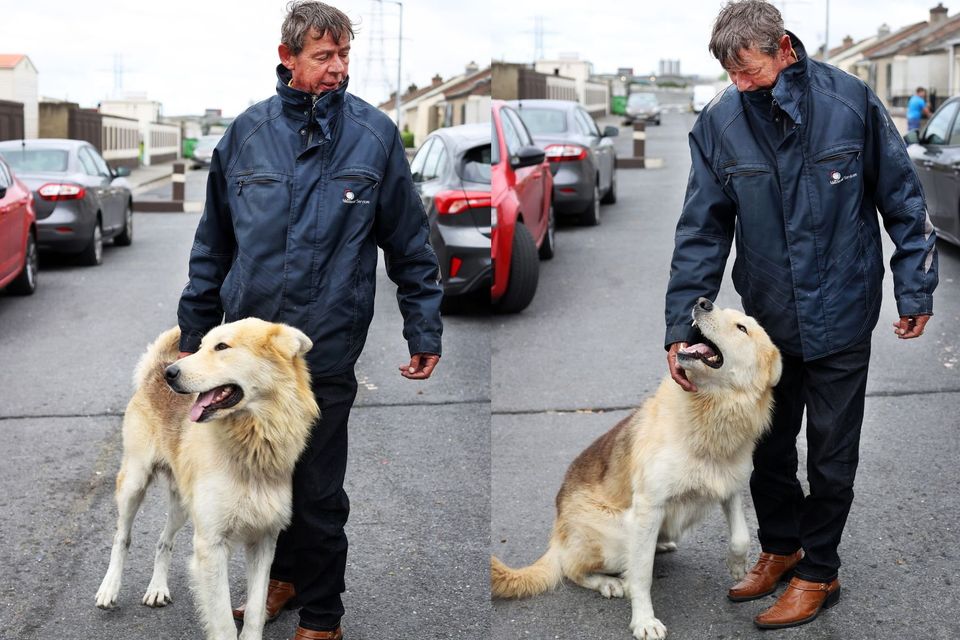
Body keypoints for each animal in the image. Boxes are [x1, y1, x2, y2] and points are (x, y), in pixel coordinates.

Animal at [94, 318, 318, 640]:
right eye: (200, 347)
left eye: (222, 347)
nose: (171, 374)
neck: (252, 443)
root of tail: (155, 369)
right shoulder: (211, 546)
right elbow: (223, 621)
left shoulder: (264, 541)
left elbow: (255, 610)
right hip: (134, 484)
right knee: (121, 537)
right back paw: (109, 588)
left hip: (182, 507)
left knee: (163, 541)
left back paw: (157, 588)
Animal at [492, 298, 784, 636]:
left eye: (742, 328)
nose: (702, 302)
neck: (708, 413)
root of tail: (558, 535)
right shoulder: (648, 507)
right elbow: (642, 576)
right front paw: (644, 620)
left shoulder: (729, 486)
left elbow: (740, 535)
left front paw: (737, 566)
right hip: (616, 538)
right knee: (572, 567)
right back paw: (608, 582)